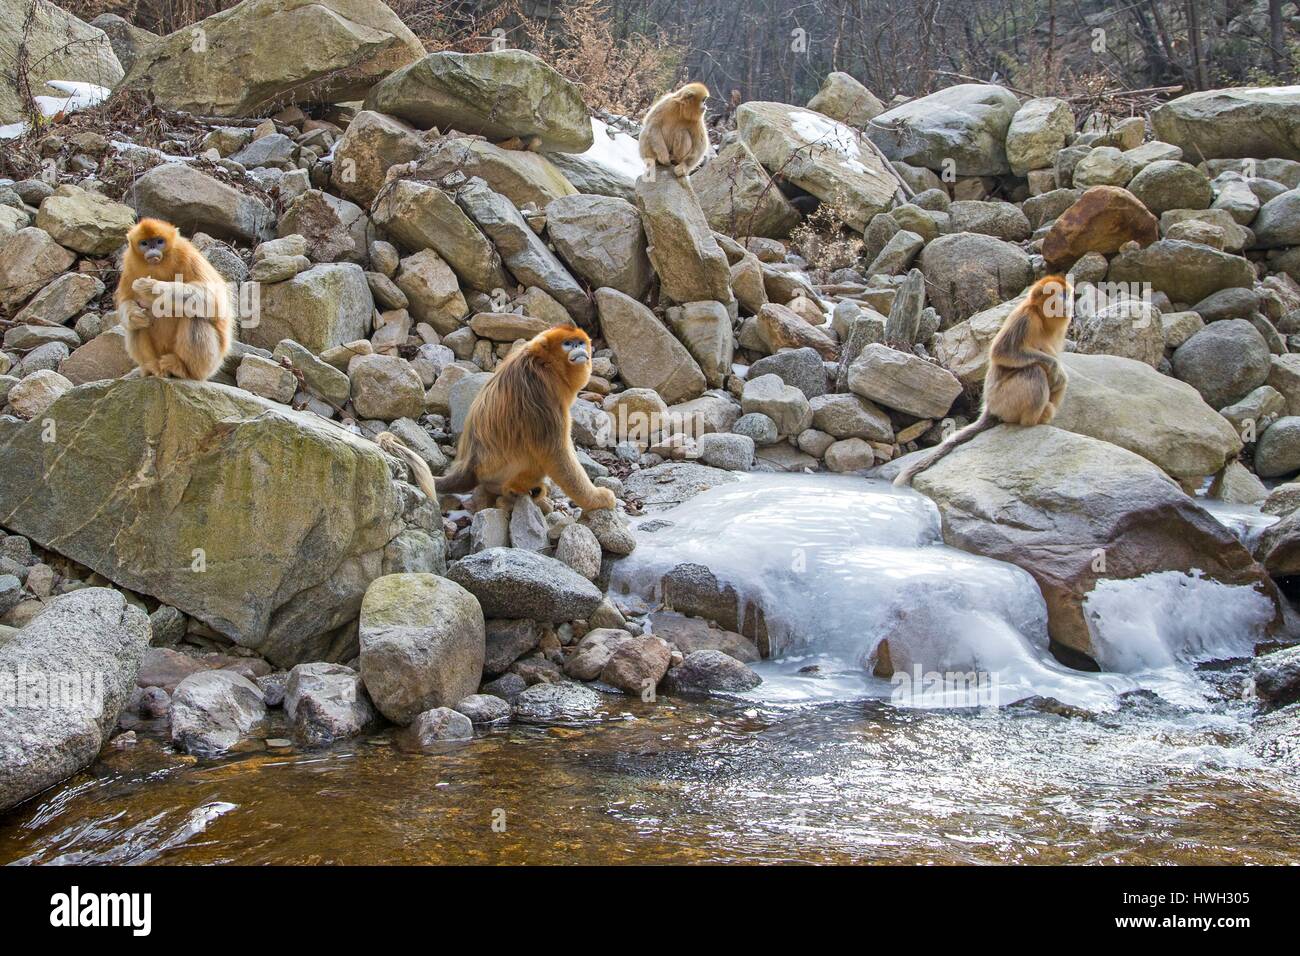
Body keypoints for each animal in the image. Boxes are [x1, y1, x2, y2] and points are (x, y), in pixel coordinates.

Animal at [115, 218, 233, 381]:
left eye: (159, 241)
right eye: (144, 243)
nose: (152, 248)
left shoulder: (187, 255)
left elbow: (214, 301)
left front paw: (152, 287)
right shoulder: (129, 265)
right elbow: (126, 303)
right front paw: (134, 314)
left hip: (210, 365)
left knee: (194, 315)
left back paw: (182, 369)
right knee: (135, 327)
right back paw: (151, 367)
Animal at [437, 321, 617, 514]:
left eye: (580, 342)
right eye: (568, 343)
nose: (578, 347)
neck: (546, 364)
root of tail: (469, 467)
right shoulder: (540, 391)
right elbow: (555, 453)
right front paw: (598, 499)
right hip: (501, 470)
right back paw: (513, 491)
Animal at [894, 275, 1072, 487]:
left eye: (1067, 294)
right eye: (1061, 295)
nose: (1068, 302)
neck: (1042, 318)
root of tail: (989, 407)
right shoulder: (1025, 318)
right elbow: (1002, 352)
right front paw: (1054, 365)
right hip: (1004, 402)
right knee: (1035, 371)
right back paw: (1034, 420)